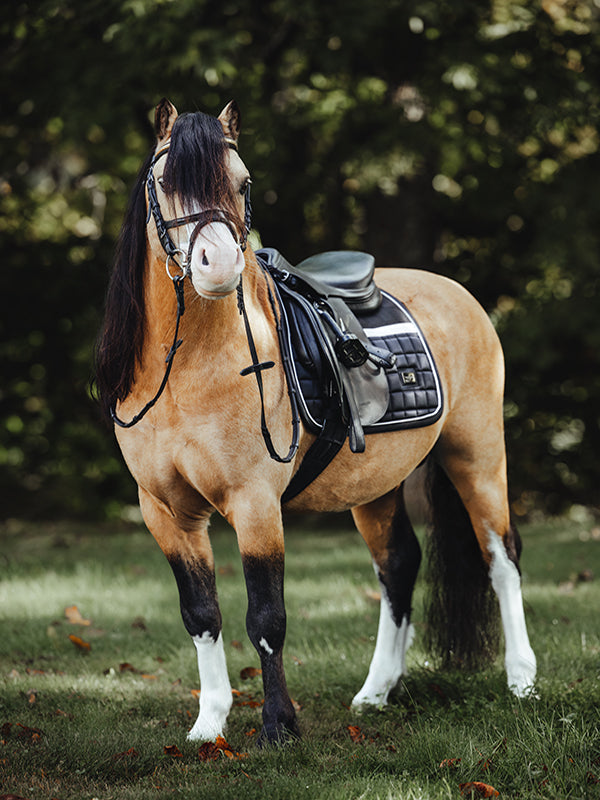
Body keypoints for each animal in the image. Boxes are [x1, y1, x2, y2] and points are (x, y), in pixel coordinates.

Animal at [95, 98, 537, 746]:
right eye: (165, 183)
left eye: (242, 182)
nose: (219, 265)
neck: (191, 370)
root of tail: (453, 291)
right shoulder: (166, 512)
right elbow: (201, 614)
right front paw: (209, 724)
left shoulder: (255, 503)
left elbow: (266, 617)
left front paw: (278, 727)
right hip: (376, 488)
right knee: (398, 567)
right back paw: (376, 692)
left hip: (477, 454)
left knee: (501, 558)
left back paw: (522, 681)